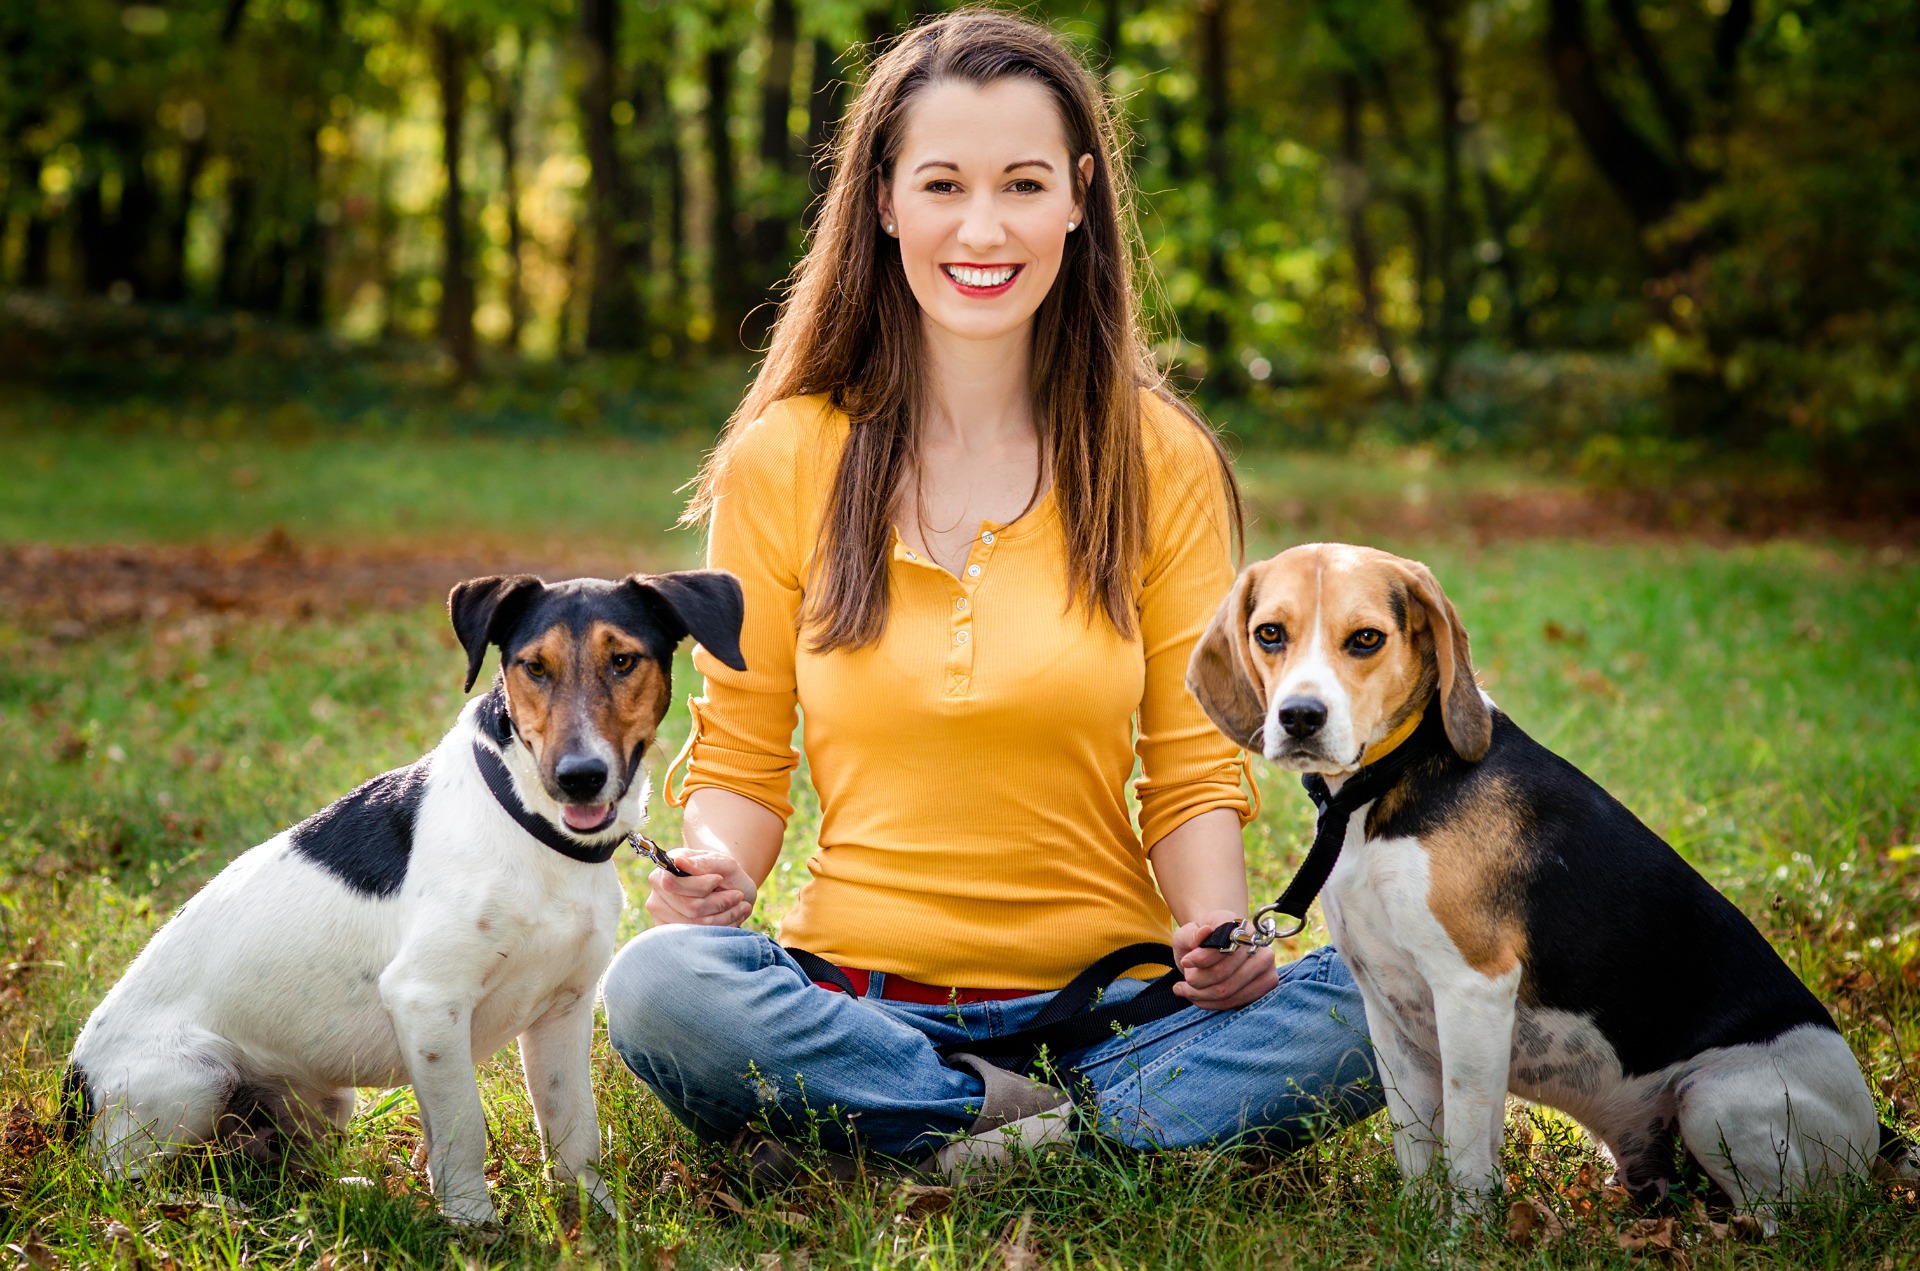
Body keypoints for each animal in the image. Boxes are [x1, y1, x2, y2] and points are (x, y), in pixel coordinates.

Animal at [69, 572, 741, 1228]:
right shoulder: (428, 1000)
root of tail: (74, 1091)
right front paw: (473, 1226)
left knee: (277, 1170)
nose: (579, 778)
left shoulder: (564, 1008)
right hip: (193, 1079)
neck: (531, 824)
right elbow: (464, 1130)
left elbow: (574, 1130)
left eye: (623, 660)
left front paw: (599, 1222)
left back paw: (336, 1192)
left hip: (322, 1100)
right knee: (130, 1186)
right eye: (534, 666)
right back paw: (211, 1210)